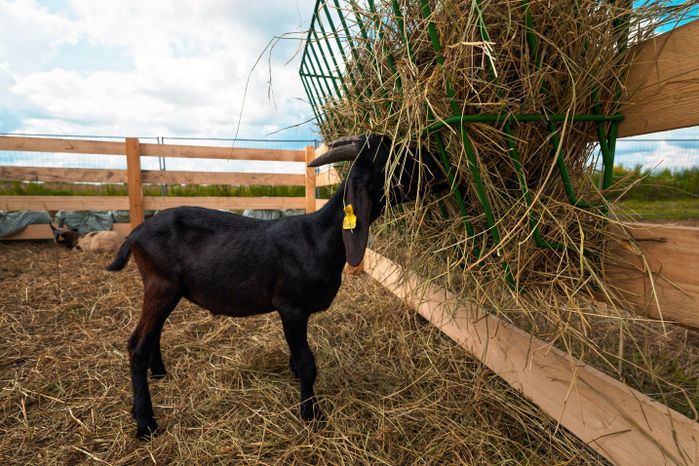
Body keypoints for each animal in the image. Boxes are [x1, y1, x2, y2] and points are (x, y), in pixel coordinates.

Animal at [106, 134, 447, 438]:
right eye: (395, 157)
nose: (443, 173)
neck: (319, 237)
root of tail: (134, 234)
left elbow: (297, 356)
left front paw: (297, 383)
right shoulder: (291, 306)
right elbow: (308, 362)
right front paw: (311, 414)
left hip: (166, 290)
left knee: (154, 333)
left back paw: (159, 373)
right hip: (160, 284)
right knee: (137, 345)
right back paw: (146, 424)